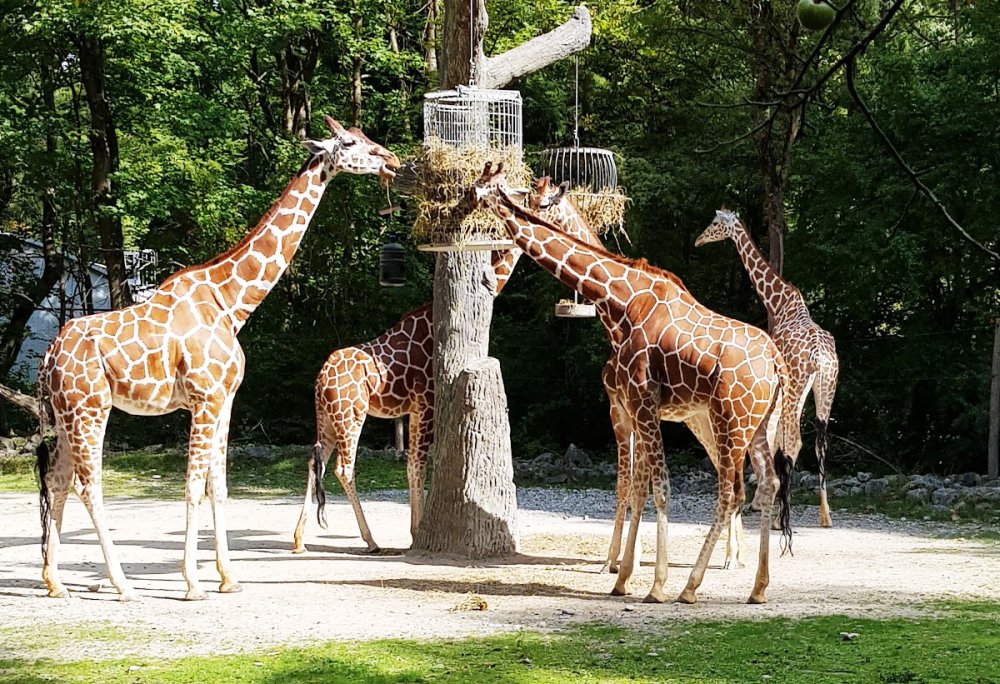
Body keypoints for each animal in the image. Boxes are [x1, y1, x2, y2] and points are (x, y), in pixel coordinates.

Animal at [34, 117, 402, 600]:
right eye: (351, 143)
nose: (393, 160)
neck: (231, 303)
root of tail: (48, 356)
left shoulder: (225, 401)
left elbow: (218, 485)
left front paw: (228, 577)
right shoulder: (204, 399)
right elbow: (192, 485)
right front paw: (193, 582)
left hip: (65, 414)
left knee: (58, 480)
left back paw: (55, 581)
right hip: (90, 409)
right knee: (87, 484)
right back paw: (121, 583)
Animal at [286, 174, 604, 552]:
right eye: (556, 204)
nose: (586, 231)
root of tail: (321, 379)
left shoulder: (413, 408)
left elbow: (414, 463)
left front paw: (416, 529)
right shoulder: (426, 401)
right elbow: (416, 463)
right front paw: (416, 531)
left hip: (327, 417)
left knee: (313, 461)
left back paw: (299, 539)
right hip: (351, 414)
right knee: (342, 468)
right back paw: (371, 540)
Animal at [462, 166, 796, 604]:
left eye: (478, 190)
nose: (461, 206)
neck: (618, 303)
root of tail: (776, 363)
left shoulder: (637, 401)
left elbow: (654, 486)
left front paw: (652, 582)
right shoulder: (632, 406)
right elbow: (637, 486)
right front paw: (623, 574)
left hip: (730, 421)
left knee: (733, 492)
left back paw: (692, 586)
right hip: (756, 424)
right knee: (767, 485)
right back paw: (757, 586)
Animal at [692, 210, 840, 528]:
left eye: (715, 223)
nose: (698, 240)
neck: (779, 302)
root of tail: (821, 358)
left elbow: (773, 439)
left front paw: (759, 501)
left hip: (797, 387)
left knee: (795, 441)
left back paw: (779, 519)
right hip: (827, 389)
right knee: (820, 443)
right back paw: (825, 515)